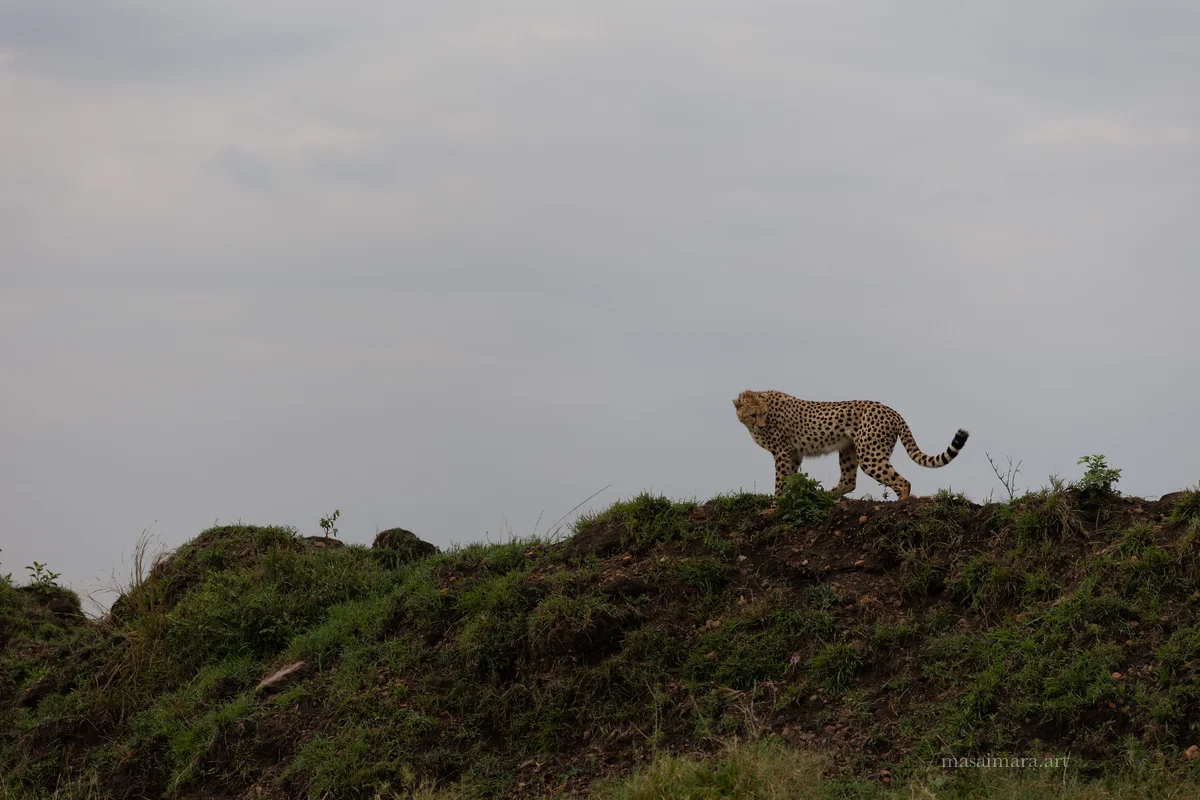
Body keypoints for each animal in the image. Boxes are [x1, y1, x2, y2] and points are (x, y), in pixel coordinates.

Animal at [733, 389, 969, 502]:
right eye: (754, 414)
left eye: (763, 414)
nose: (761, 426)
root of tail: (892, 411)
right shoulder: (794, 453)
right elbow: (791, 479)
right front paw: (790, 499)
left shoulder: (783, 452)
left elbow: (781, 481)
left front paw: (774, 508)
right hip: (849, 449)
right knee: (849, 482)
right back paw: (825, 496)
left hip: (869, 455)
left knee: (902, 482)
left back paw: (901, 504)